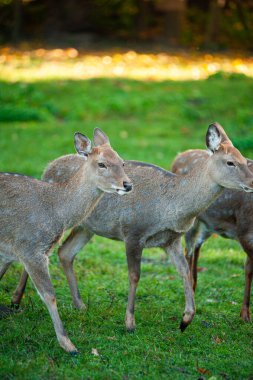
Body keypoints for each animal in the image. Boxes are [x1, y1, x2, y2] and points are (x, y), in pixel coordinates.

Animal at [0, 127, 131, 354]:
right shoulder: (29, 247)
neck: (55, 210)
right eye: (102, 164)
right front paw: (68, 345)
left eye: (122, 162)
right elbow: (49, 294)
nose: (128, 184)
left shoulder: (13, 250)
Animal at [171, 148, 253, 320]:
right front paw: (245, 315)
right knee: (188, 251)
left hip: (208, 225)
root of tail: (179, 156)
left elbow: (248, 269)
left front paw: (245, 314)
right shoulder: (245, 229)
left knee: (197, 247)